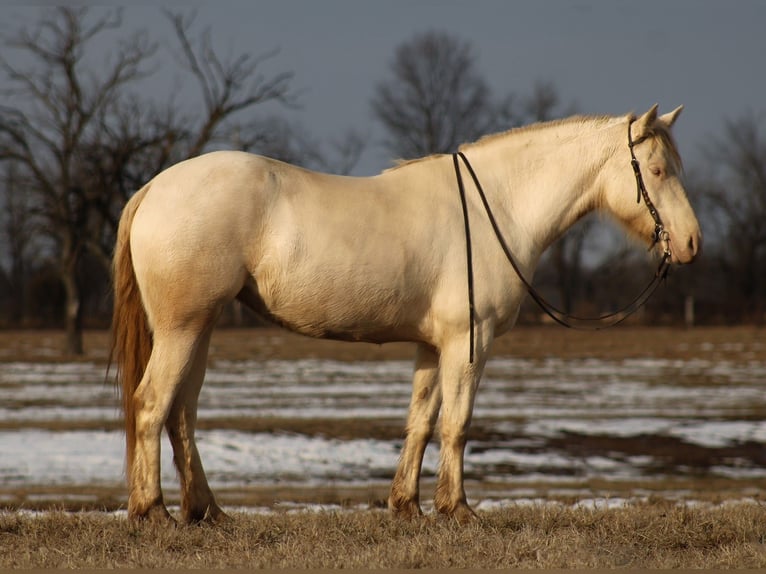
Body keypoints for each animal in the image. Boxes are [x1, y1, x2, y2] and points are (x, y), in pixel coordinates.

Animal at [111, 104, 701, 524]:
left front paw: (407, 505)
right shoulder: (469, 341)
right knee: (152, 405)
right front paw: (457, 509)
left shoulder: (432, 346)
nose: (691, 243)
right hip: (183, 329)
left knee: (182, 413)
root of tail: (154, 187)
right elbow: (457, 424)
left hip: (199, 328)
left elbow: (420, 420)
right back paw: (153, 512)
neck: (498, 207)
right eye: (655, 169)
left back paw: (206, 511)